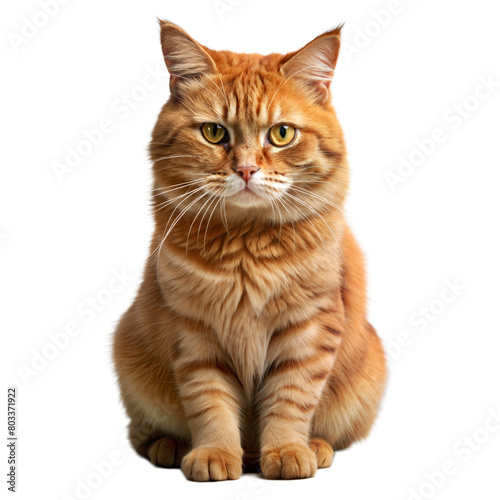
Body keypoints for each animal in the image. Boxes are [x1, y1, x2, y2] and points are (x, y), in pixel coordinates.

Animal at [112, 19, 386, 480]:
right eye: (214, 132)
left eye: (281, 134)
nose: (245, 169)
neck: (246, 246)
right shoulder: (193, 330)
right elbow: (211, 403)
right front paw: (215, 454)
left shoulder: (309, 328)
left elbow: (290, 399)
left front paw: (287, 451)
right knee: (141, 433)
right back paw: (171, 447)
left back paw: (314, 447)